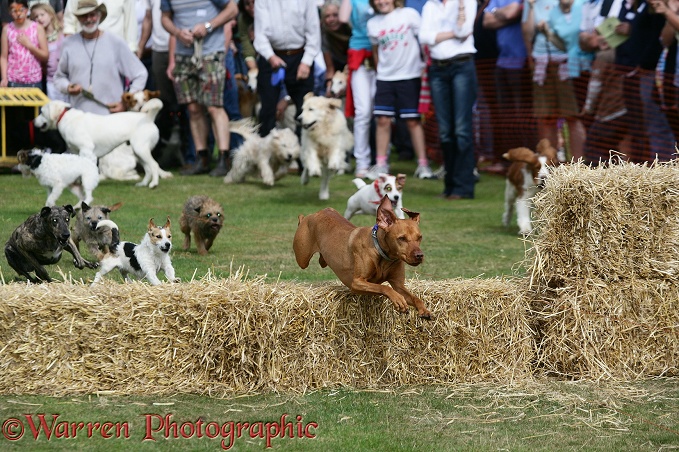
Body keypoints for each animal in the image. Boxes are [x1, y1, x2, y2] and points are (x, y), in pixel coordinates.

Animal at [32, 99, 171, 189]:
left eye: (42, 112)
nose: (33, 122)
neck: (66, 118)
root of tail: (148, 118)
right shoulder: (76, 152)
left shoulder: (87, 152)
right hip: (138, 153)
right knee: (148, 169)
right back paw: (143, 184)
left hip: (140, 149)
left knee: (154, 165)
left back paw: (153, 184)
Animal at [290, 196, 430, 320]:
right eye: (401, 238)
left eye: (420, 237)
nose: (419, 255)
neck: (382, 254)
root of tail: (318, 212)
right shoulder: (356, 282)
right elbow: (384, 287)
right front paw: (398, 300)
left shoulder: (398, 285)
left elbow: (414, 297)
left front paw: (424, 309)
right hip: (302, 257)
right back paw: (301, 218)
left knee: (322, 260)